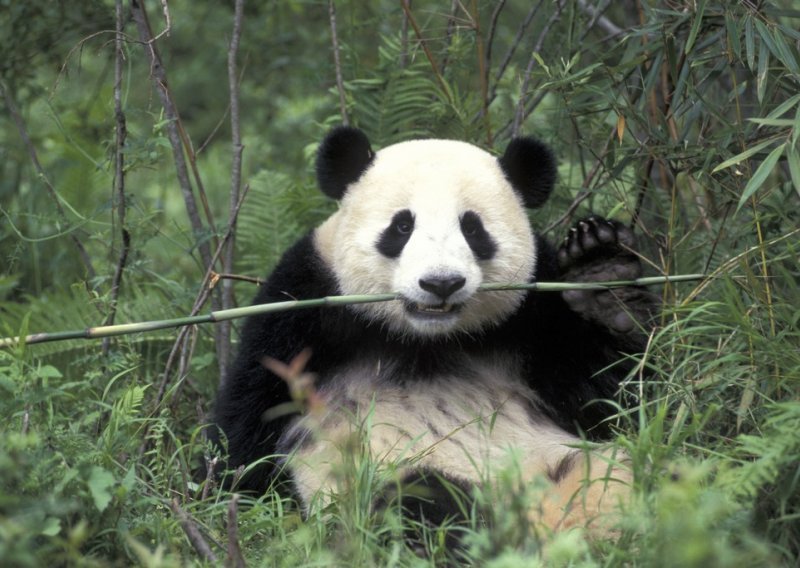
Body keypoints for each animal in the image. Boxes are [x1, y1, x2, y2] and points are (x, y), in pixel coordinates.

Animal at [211, 126, 656, 540]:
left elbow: (611, 398)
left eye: (473, 229)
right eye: (401, 226)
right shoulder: (303, 309)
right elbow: (248, 429)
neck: (425, 339)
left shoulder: (533, 317)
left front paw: (601, 273)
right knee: (418, 499)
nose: (441, 283)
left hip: (587, 467)